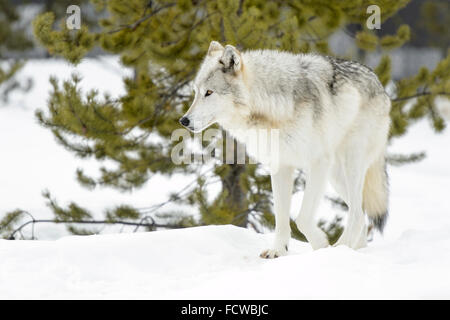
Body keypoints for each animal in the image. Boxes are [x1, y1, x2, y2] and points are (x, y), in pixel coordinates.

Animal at [179, 41, 390, 258]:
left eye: (209, 92)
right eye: (196, 92)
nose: (183, 120)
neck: (273, 107)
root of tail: (378, 82)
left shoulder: (317, 163)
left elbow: (302, 219)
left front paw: (321, 246)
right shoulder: (281, 166)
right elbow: (280, 218)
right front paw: (278, 251)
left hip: (349, 164)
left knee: (357, 214)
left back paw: (340, 249)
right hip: (336, 177)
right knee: (362, 214)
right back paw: (353, 251)